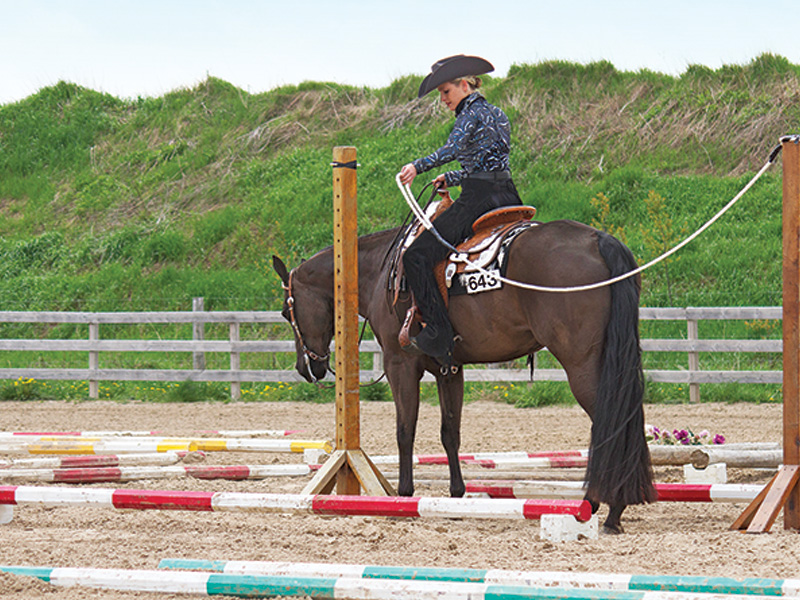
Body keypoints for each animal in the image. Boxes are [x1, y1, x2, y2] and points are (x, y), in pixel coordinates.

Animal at [272, 212, 656, 533]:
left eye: (286, 312)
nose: (306, 367)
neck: (379, 273)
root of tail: (597, 240)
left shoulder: (400, 364)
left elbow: (405, 430)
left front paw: (404, 495)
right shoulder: (450, 369)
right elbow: (450, 433)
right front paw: (456, 496)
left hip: (581, 364)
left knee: (611, 420)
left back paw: (604, 506)